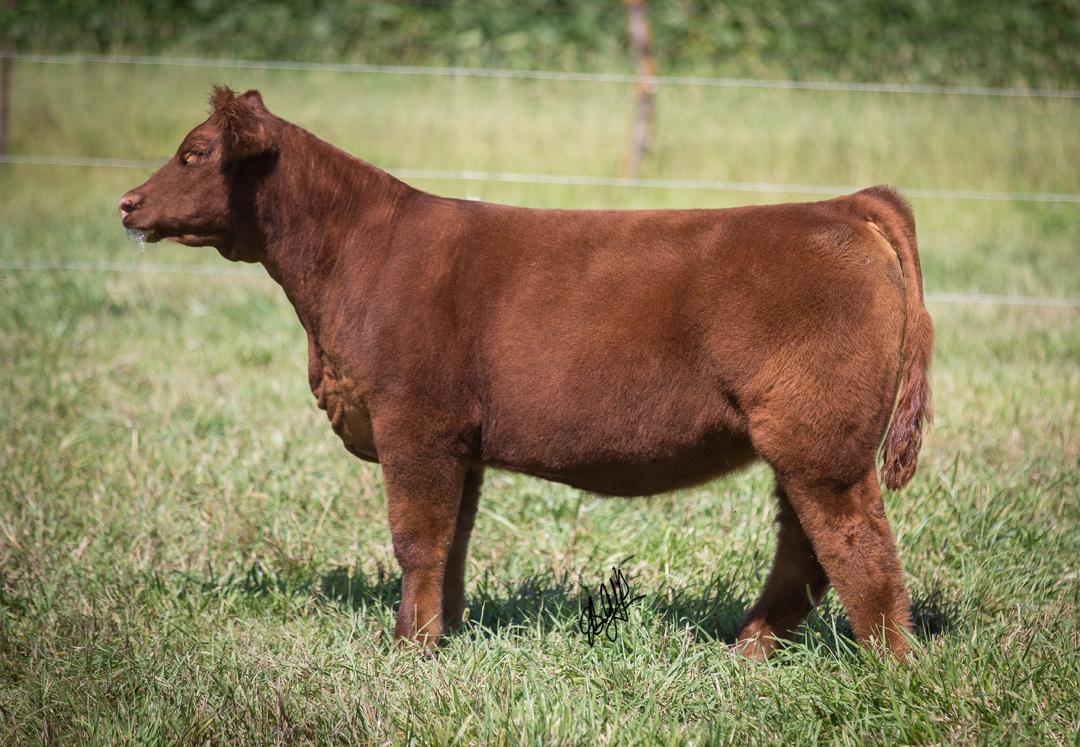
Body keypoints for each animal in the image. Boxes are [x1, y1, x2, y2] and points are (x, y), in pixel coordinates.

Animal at [119, 86, 933, 658]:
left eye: (194, 153)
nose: (128, 203)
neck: (352, 257)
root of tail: (841, 205)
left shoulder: (412, 424)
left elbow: (416, 536)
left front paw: (405, 647)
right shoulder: (458, 442)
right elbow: (452, 540)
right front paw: (441, 635)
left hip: (820, 445)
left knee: (859, 548)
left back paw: (889, 666)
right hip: (805, 445)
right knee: (806, 551)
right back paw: (748, 651)